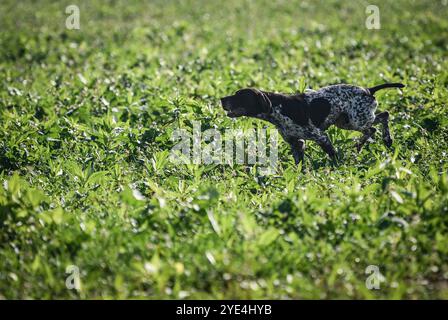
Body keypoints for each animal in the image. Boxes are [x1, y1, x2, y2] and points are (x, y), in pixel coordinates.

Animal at [219, 83, 404, 162]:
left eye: (239, 95)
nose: (221, 99)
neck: (279, 108)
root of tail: (368, 89)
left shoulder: (320, 136)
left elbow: (333, 154)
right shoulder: (296, 143)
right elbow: (299, 165)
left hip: (358, 120)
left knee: (383, 117)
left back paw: (386, 139)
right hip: (346, 122)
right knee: (372, 128)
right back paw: (361, 146)